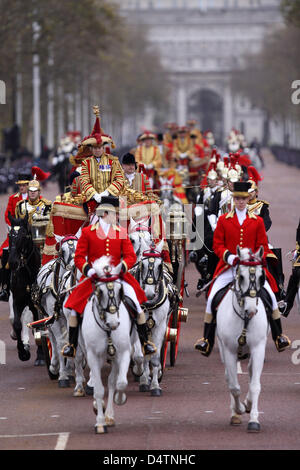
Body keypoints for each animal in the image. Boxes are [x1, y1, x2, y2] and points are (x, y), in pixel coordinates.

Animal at [35, 235, 78, 386]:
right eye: (62, 251)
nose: (73, 266)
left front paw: (70, 369)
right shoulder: (54, 318)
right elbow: (60, 342)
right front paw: (64, 375)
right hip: (48, 318)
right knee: (52, 338)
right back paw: (54, 366)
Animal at [81, 258, 134, 434]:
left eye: (120, 290)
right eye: (100, 292)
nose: (114, 323)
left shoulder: (123, 352)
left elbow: (120, 382)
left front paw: (119, 399)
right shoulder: (93, 356)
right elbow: (98, 389)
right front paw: (100, 422)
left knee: (111, 381)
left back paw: (109, 414)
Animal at [217, 246, 268, 434]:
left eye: (261, 276)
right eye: (241, 277)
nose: (251, 310)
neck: (244, 318)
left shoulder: (258, 348)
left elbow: (255, 385)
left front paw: (253, 419)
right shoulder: (229, 350)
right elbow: (234, 386)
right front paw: (237, 410)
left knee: (252, 371)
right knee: (229, 378)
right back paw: (236, 412)